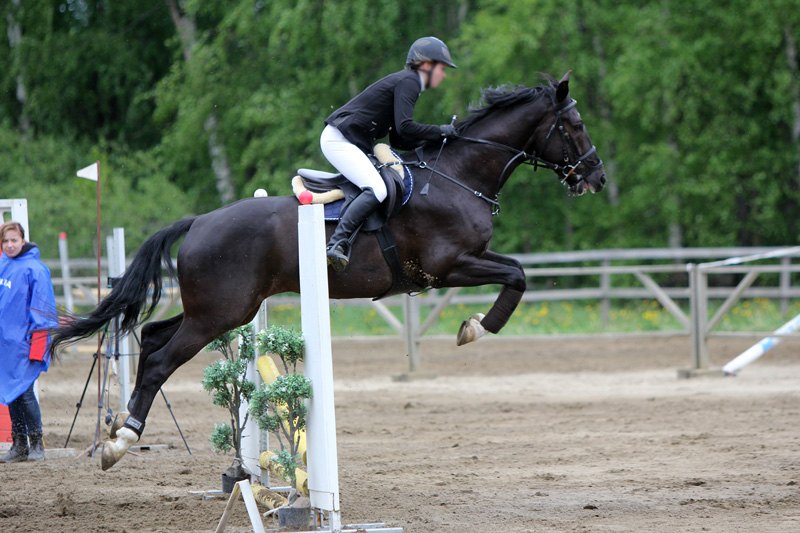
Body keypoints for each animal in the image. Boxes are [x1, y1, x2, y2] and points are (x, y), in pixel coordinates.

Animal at [50, 71, 605, 470]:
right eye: (575, 126)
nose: (596, 179)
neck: (458, 176)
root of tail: (200, 221)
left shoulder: (458, 265)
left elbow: (515, 271)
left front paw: (473, 326)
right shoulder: (449, 266)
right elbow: (517, 276)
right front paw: (476, 327)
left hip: (219, 310)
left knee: (152, 337)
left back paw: (122, 429)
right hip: (219, 313)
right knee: (162, 360)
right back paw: (121, 441)